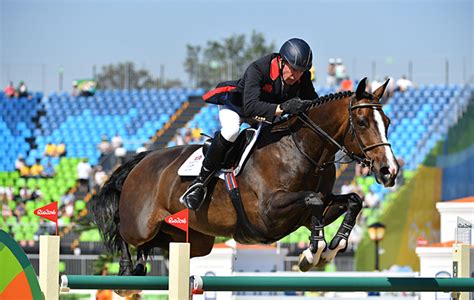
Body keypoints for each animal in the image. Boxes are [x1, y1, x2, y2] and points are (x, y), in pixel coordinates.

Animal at [88, 77, 396, 276]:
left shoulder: (306, 214)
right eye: (362, 122)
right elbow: (314, 200)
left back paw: (140, 264)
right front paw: (313, 253)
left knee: (159, 243)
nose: (389, 171)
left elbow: (351, 200)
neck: (302, 148)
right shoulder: (268, 213)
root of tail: (141, 160)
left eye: (388, 122)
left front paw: (333, 246)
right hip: (140, 223)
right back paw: (127, 268)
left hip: (195, 238)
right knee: (123, 229)